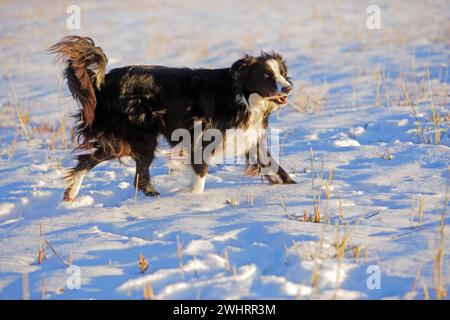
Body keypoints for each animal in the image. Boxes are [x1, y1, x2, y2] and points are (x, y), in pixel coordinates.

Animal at [49, 36, 296, 201]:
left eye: (282, 73)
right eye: (267, 76)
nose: (288, 88)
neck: (242, 96)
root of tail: (101, 84)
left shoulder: (249, 137)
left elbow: (273, 165)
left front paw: (294, 187)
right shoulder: (201, 138)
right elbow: (200, 174)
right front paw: (191, 200)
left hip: (125, 140)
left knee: (94, 161)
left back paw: (71, 193)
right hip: (139, 135)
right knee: (136, 173)